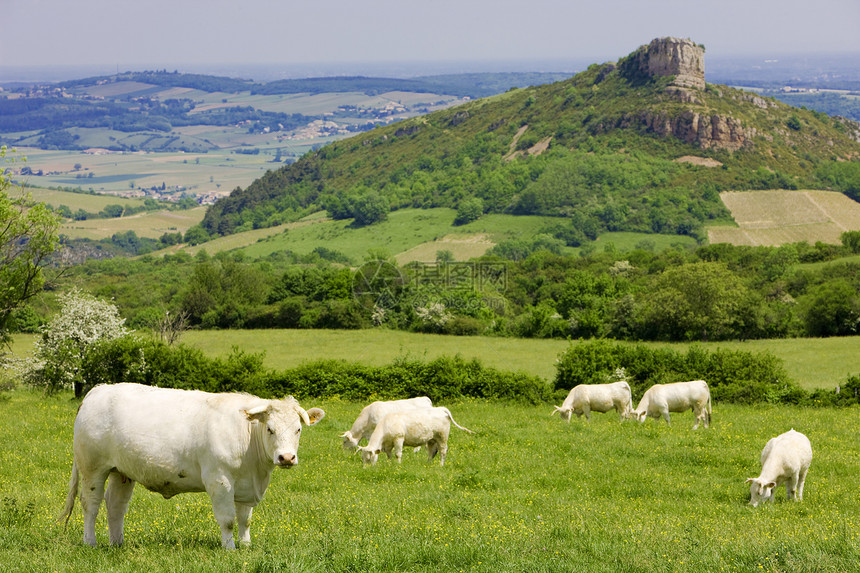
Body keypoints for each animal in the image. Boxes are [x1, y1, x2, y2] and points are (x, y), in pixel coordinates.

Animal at [57, 382, 324, 548]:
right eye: (270, 429)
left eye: (298, 429)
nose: (286, 458)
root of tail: (98, 390)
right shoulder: (219, 480)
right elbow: (227, 519)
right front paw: (230, 548)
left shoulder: (246, 485)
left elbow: (245, 519)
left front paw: (246, 545)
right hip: (92, 467)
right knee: (90, 504)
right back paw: (90, 542)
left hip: (122, 471)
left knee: (115, 506)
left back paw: (117, 543)